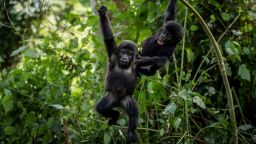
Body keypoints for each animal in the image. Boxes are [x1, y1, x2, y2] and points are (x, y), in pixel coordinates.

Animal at [95, 6, 166, 142]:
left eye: (129, 53)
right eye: (123, 52)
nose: (124, 57)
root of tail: (118, 103)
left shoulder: (137, 61)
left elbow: (148, 61)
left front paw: (160, 60)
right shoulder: (113, 54)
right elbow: (109, 39)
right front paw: (103, 15)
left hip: (126, 99)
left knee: (133, 113)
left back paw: (131, 132)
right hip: (110, 97)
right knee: (101, 108)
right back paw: (115, 115)